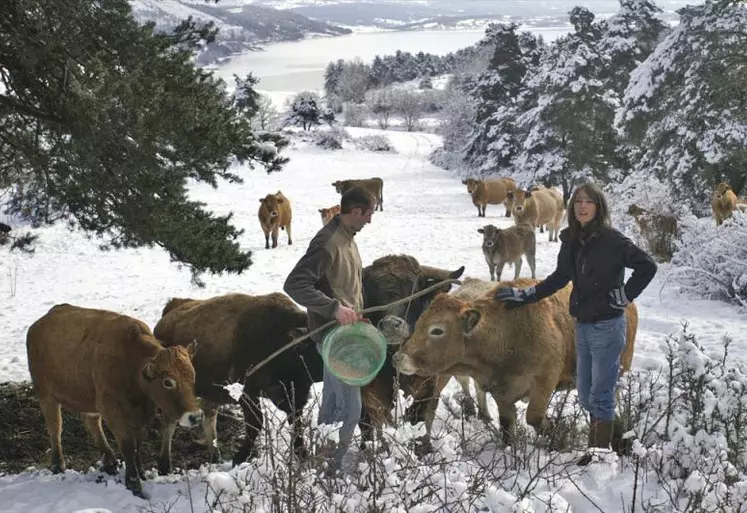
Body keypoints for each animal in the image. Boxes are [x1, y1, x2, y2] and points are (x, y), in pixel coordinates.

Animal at [26, 304, 203, 496]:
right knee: (55, 428)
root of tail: (41, 322)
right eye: (168, 382)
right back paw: (58, 465)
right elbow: (128, 446)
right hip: (46, 395)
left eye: (193, 376)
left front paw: (141, 473)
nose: (196, 416)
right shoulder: (112, 410)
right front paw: (134, 484)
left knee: (91, 422)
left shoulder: (143, 412)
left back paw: (110, 462)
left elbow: (137, 443)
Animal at [153, 292, 322, 468]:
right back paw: (165, 464)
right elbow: (256, 423)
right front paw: (240, 457)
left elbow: (296, 423)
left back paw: (215, 457)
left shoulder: (294, 396)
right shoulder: (247, 393)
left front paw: (303, 455)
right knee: (170, 423)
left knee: (208, 418)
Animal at [392, 276, 636, 444]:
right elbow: (508, 426)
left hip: (617, 372)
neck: (506, 333)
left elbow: (534, 417)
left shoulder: (545, 380)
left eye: (437, 330)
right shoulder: (501, 392)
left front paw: (558, 436)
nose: (398, 357)